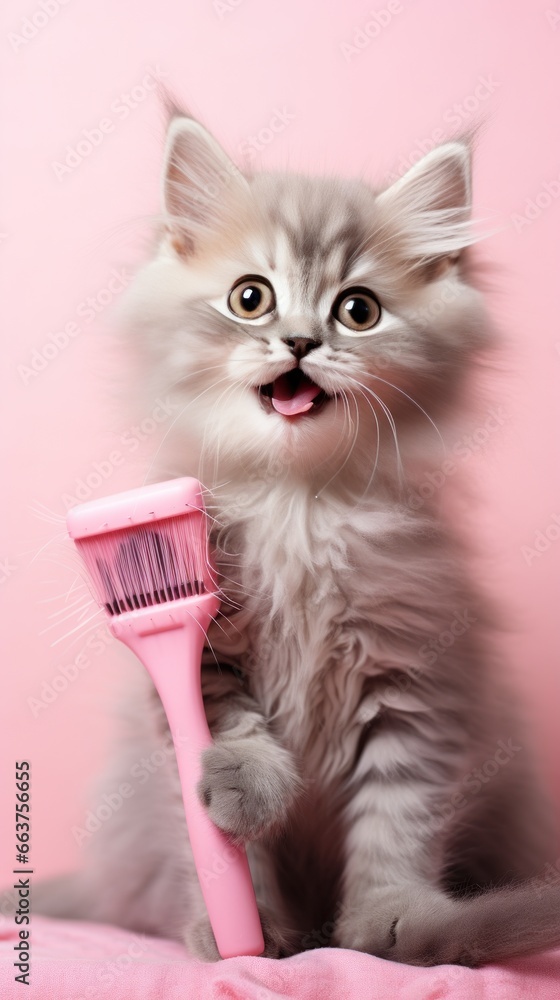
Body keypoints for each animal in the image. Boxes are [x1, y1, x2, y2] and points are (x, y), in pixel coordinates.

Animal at [32, 113, 560, 964]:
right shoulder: (205, 661)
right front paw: (246, 924)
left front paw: (391, 922)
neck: (298, 503)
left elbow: (398, 815)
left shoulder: (417, 676)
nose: (302, 343)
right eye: (251, 298)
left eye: (358, 311)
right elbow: (225, 782)